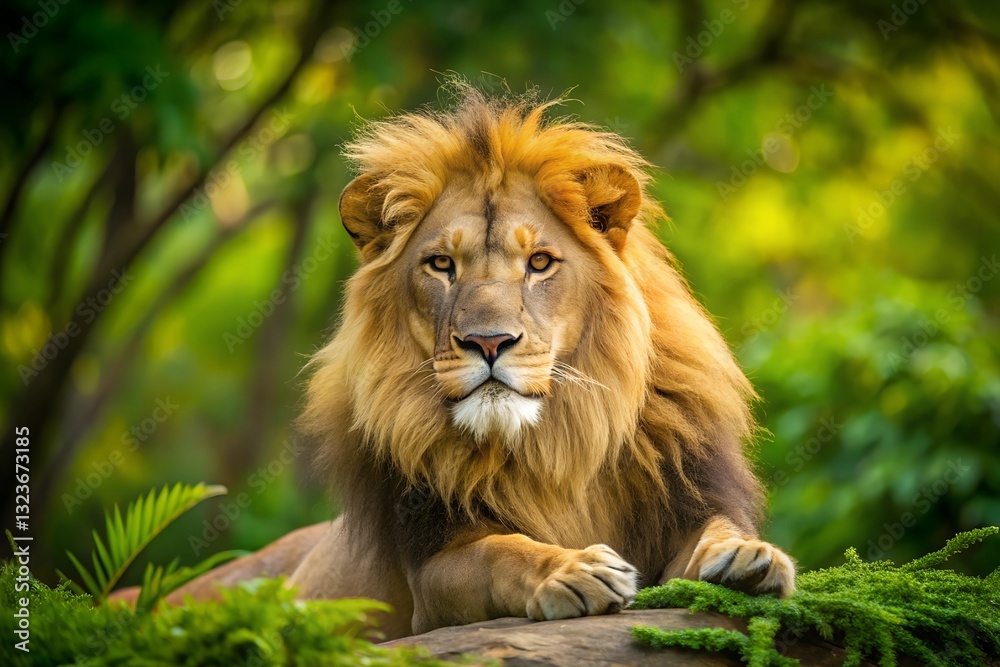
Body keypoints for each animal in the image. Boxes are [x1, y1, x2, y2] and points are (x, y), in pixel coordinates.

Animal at [125, 86, 795, 639]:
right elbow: (503, 551)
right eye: (442, 265)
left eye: (540, 262)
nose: (489, 342)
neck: (559, 442)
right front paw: (571, 569)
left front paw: (745, 557)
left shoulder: (691, 500)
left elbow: (716, 528)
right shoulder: (431, 576)